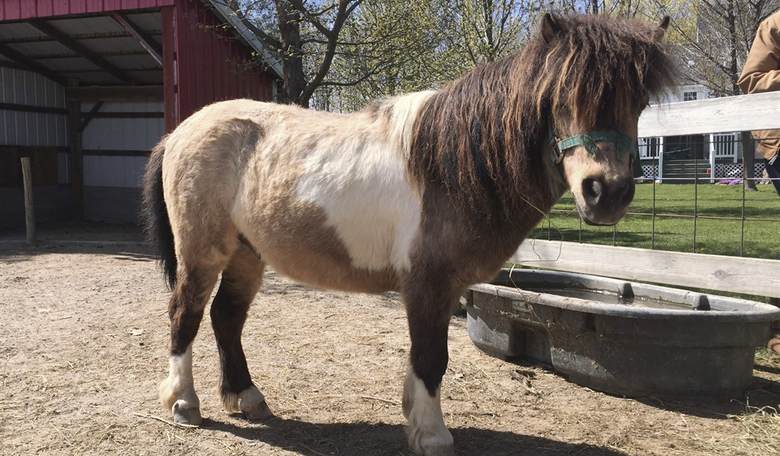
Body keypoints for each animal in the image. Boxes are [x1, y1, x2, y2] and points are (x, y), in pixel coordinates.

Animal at [142, 13, 675, 456]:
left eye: (640, 101)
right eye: (562, 98)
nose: (606, 192)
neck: (454, 165)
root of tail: (182, 131)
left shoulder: (443, 288)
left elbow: (427, 360)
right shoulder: (428, 284)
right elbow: (431, 358)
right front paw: (432, 435)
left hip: (247, 254)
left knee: (226, 318)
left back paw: (245, 397)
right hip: (203, 253)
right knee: (185, 315)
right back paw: (184, 404)